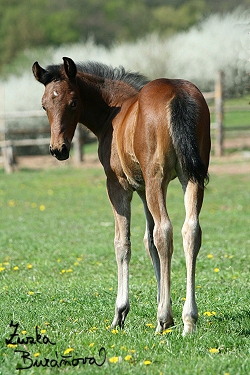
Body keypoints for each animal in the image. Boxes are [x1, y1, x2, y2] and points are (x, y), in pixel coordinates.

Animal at [32, 58, 210, 334]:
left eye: (73, 102)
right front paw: (161, 304)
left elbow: (122, 243)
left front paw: (121, 313)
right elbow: (149, 242)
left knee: (165, 231)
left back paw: (165, 318)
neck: (114, 112)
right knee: (190, 230)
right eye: (44, 105)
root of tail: (177, 92)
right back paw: (188, 320)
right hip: (190, 177)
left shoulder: (118, 186)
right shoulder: (143, 188)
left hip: (157, 178)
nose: (58, 149)